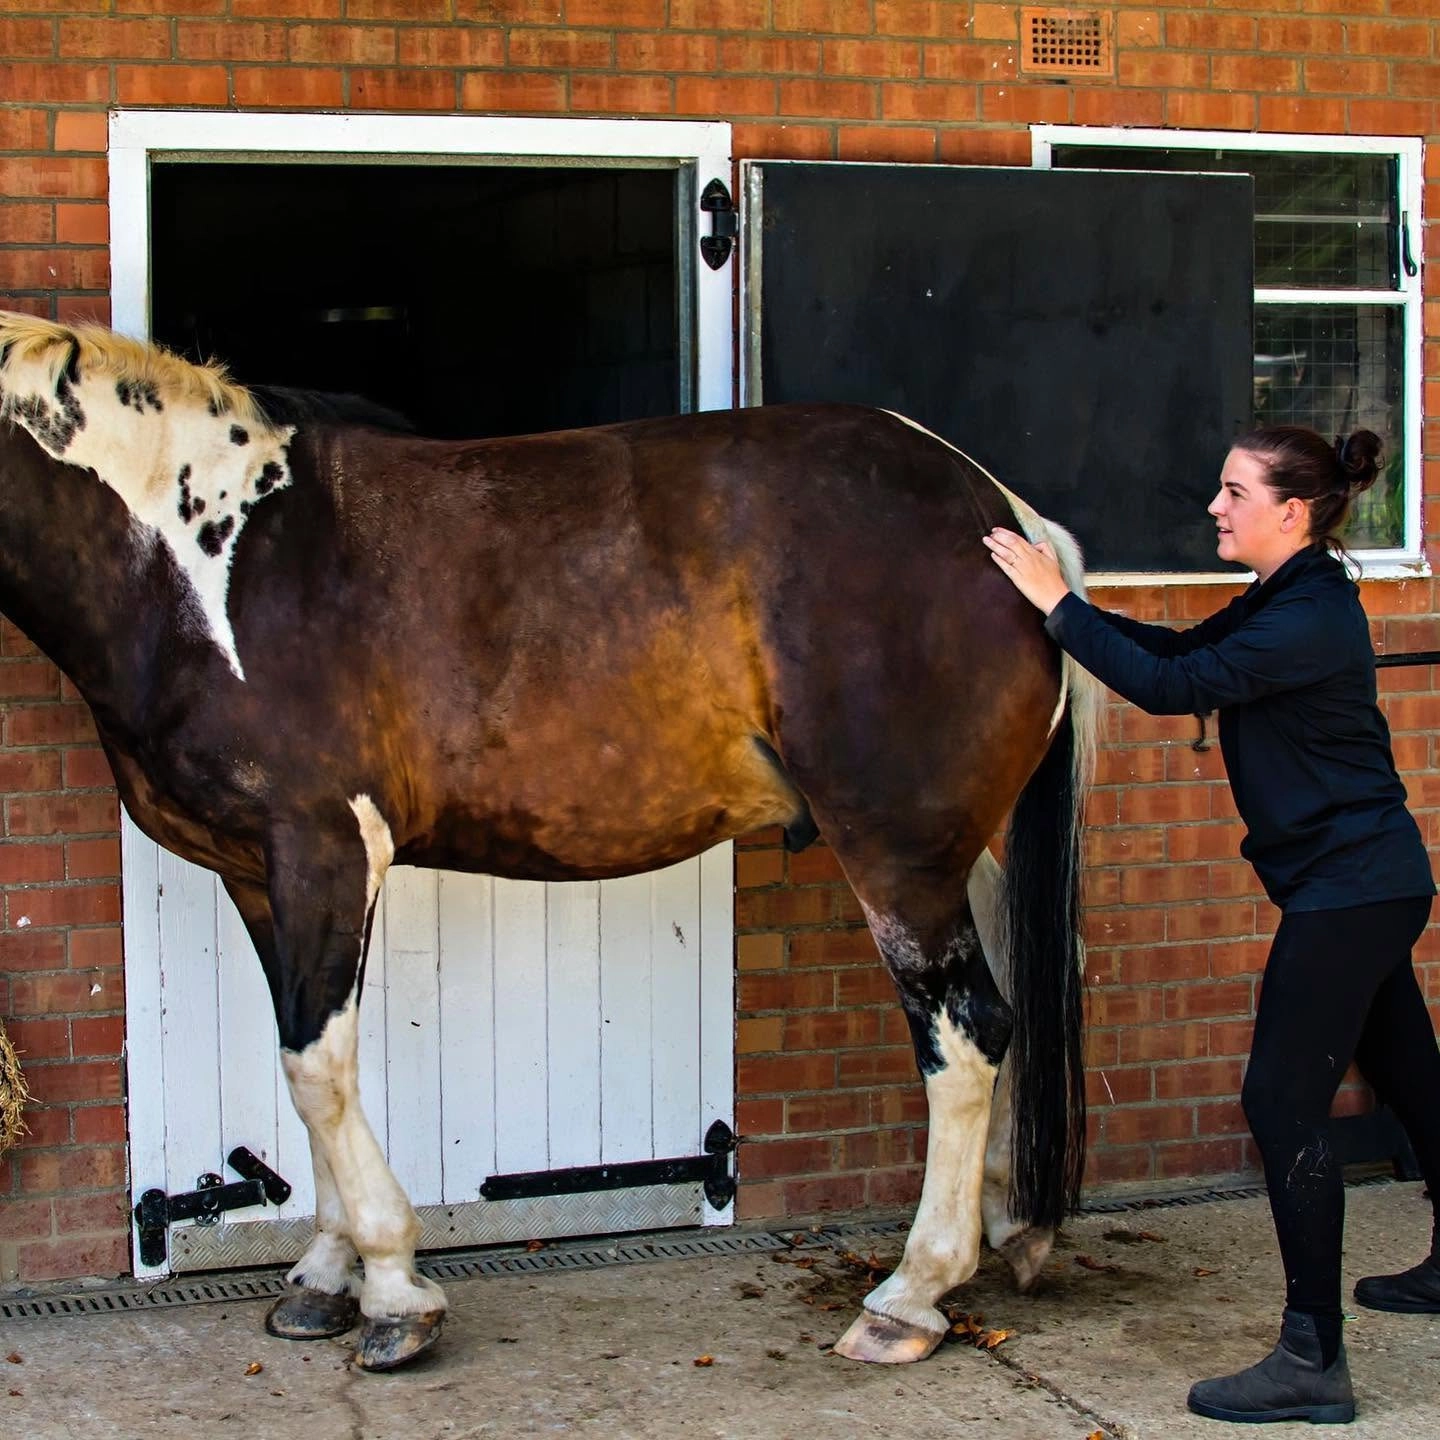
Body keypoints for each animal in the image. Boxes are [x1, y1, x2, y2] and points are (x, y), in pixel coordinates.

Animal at [0, 312, 1098, 1372]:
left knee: (967, 1033)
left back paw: (910, 1296)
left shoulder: (324, 852)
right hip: (954, 854)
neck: (207, 556)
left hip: (897, 856)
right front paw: (324, 1277)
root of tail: (1007, 518)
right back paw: (1004, 1227)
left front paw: (394, 1293)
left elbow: (318, 1068)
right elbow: (308, 1066)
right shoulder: (260, 877)